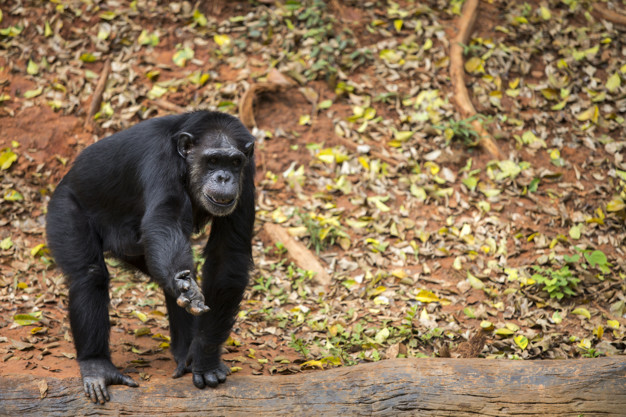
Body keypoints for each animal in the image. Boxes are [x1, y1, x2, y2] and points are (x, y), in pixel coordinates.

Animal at [44, 110, 254, 404]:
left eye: (235, 162)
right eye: (213, 160)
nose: (225, 176)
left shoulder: (249, 171)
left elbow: (228, 255)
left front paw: (206, 358)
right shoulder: (160, 160)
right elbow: (165, 221)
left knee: (172, 279)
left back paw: (184, 353)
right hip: (64, 208)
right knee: (88, 276)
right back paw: (96, 365)